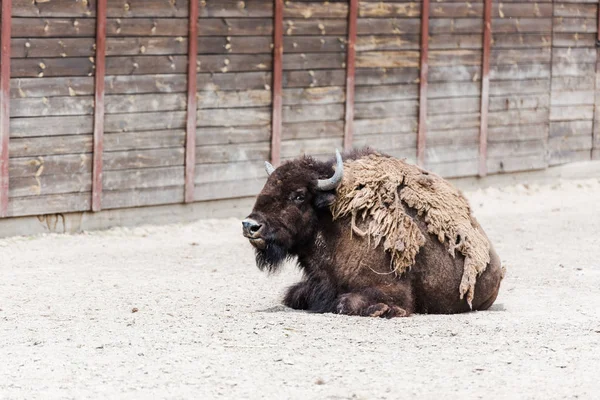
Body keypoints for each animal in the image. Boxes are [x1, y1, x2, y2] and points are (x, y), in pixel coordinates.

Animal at [241, 148, 504, 318]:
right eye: (266, 187)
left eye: (298, 195)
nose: (250, 225)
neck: (331, 222)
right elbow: (294, 295)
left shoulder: (391, 289)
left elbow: (347, 302)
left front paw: (382, 310)